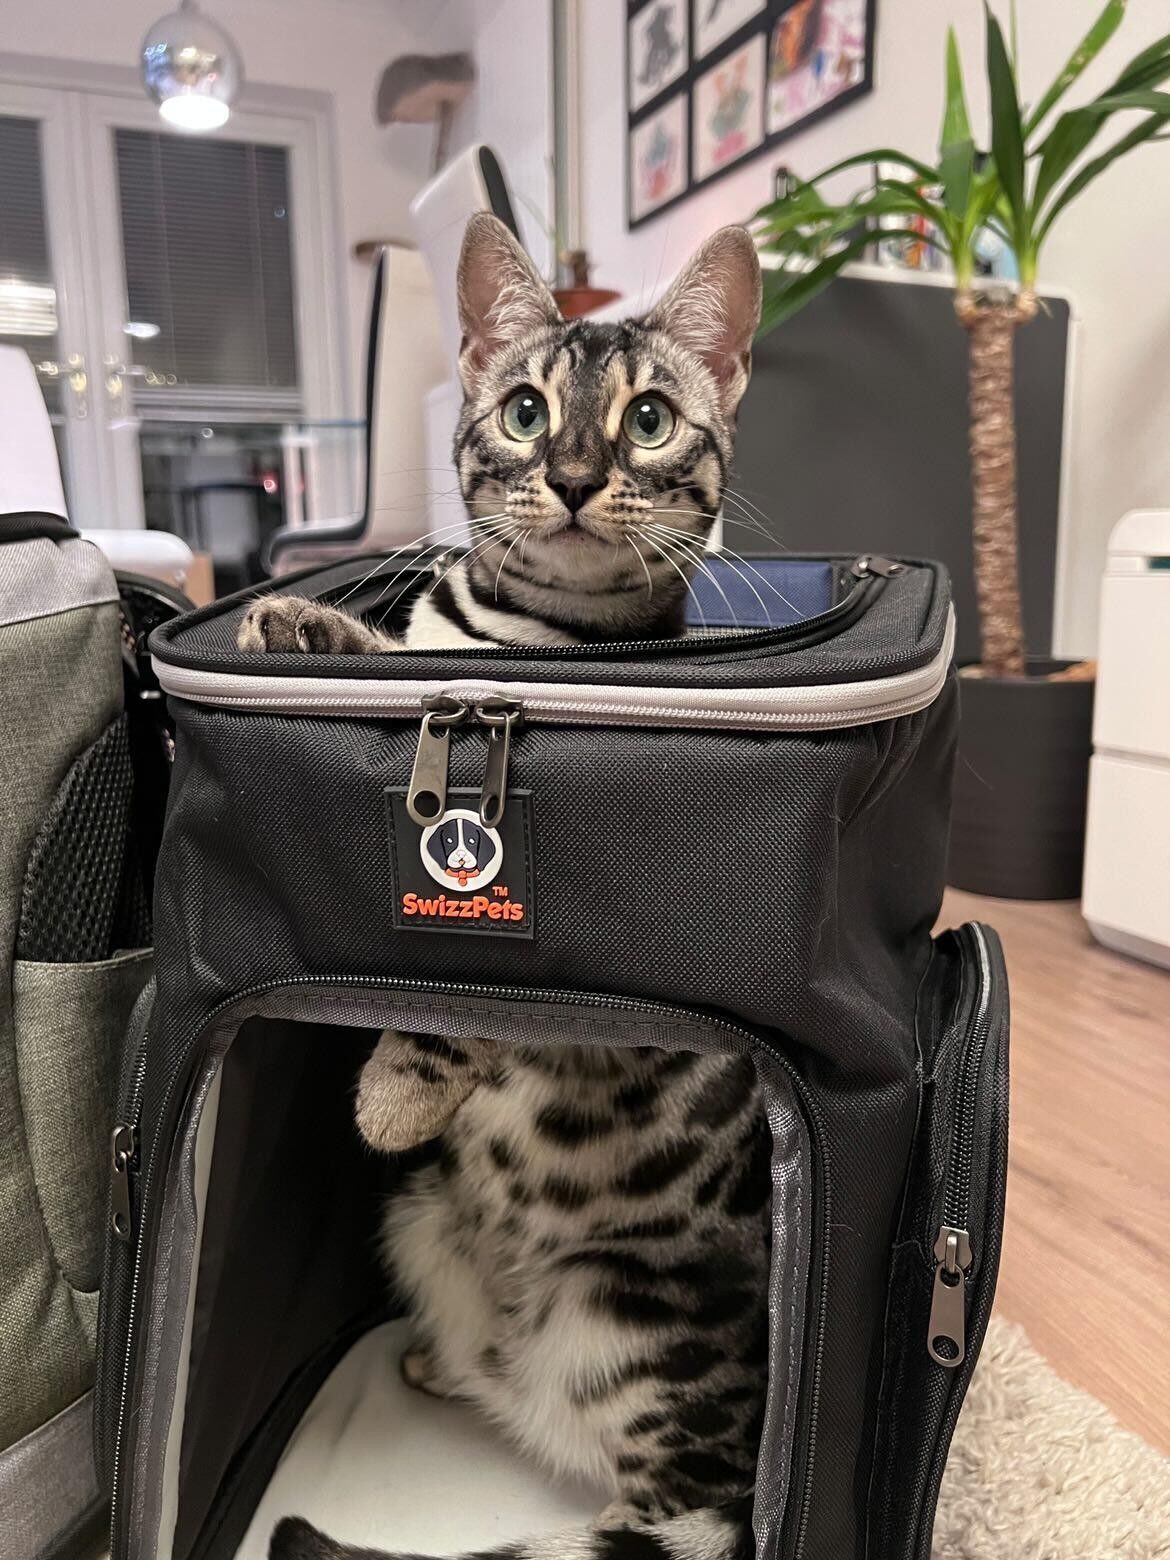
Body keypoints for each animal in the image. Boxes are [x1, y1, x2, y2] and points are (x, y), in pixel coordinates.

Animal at [248, 216, 773, 1560]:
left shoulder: (577, 997)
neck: (521, 641)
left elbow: (471, 1009)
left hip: (624, 1327)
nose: (579, 475)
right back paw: (445, 1357)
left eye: (650, 421)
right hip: (423, 1222)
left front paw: (395, 1088)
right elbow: (397, 652)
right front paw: (303, 626)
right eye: (528, 411)